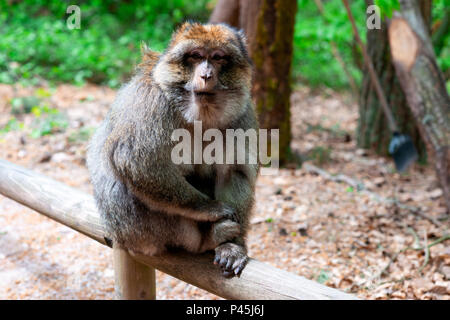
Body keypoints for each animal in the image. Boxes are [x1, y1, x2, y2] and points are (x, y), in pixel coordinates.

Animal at [86, 22, 258, 278]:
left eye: (218, 58)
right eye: (196, 56)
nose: (206, 75)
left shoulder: (243, 114)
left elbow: (234, 172)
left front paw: (233, 247)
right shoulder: (152, 102)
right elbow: (136, 161)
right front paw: (211, 209)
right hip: (132, 232)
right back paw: (206, 239)